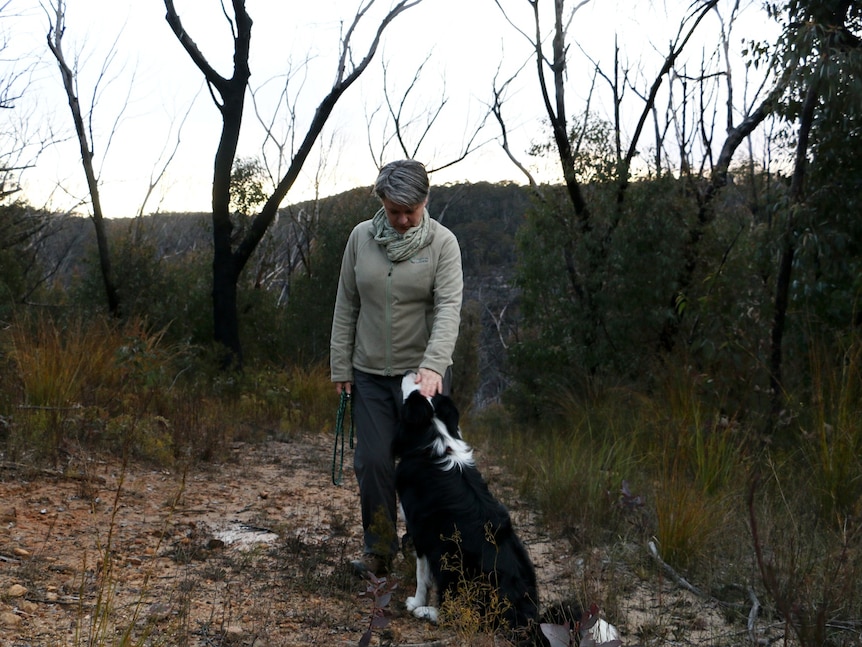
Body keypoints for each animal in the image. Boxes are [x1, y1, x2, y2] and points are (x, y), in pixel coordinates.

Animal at [394, 372, 540, 632]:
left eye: (414, 391)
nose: (412, 372)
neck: (434, 436)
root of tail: (527, 617)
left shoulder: (420, 532)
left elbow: (422, 575)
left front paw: (416, 602)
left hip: (452, 562)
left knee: (459, 614)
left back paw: (427, 612)